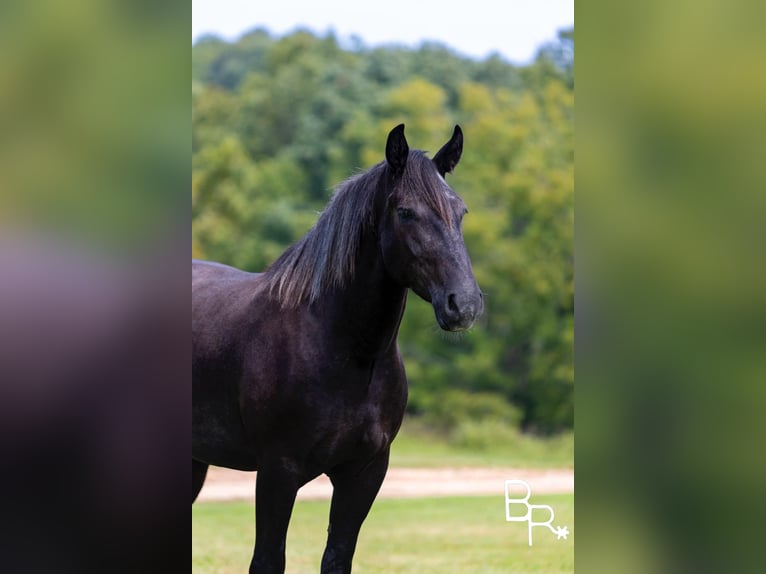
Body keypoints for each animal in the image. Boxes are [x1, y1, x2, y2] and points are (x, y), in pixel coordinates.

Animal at [192, 124, 483, 573]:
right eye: (406, 212)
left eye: (461, 211)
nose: (463, 305)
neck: (344, 351)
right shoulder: (277, 472)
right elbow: (267, 560)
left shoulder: (363, 474)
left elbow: (337, 557)